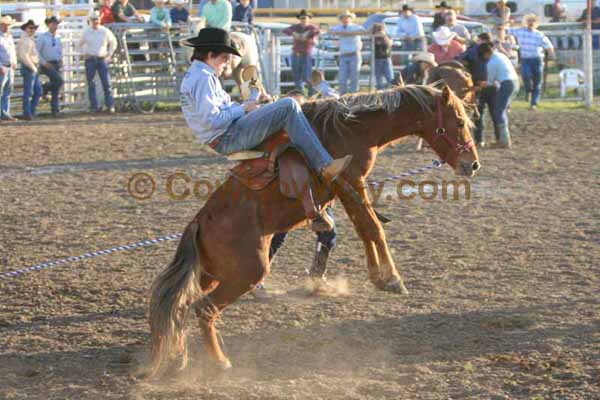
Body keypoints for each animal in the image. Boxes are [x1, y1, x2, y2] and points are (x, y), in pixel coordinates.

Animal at [148, 84, 480, 376]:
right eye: (459, 121)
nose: (473, 164)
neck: (350, 129)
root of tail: (198, 224)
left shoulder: (349, 187)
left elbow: (364, 228)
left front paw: (378, 276)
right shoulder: (350, 181)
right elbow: (373, 227)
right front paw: (392, 278)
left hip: (210, 275)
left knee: (181, 308)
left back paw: (180, 359)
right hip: (248, 271)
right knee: (204, 309)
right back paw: (219, 363)